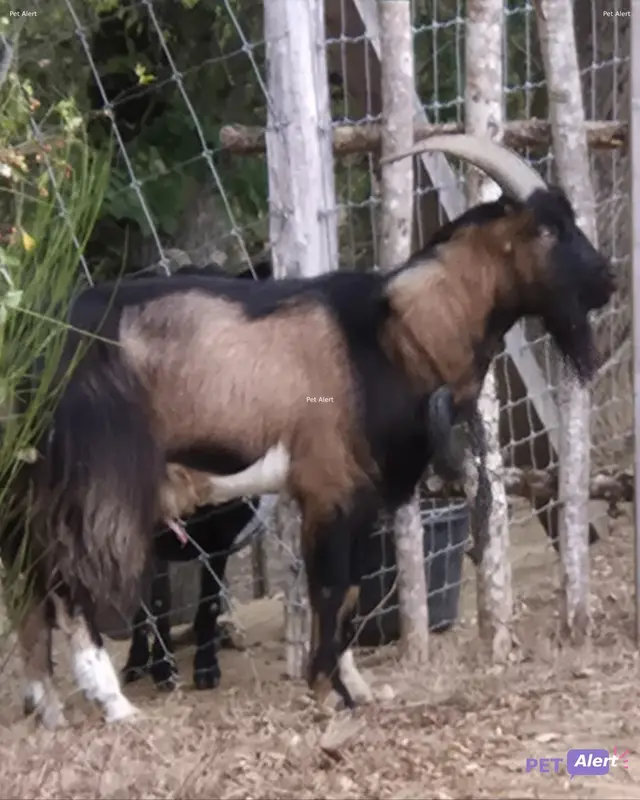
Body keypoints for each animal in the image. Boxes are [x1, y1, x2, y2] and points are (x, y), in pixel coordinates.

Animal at [10, 135, 614, 728]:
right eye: (547, 230)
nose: (606, 281)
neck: (390, 334)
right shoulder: (326, 486)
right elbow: (330, 590)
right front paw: (323, 691)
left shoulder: (361, 493)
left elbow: (348, 593)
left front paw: (357, 690)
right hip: (97, 481)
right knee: (69, 585)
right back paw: (114, 704)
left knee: (31, 581)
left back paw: (48, 704)